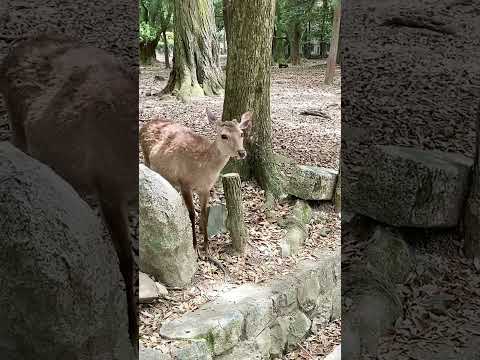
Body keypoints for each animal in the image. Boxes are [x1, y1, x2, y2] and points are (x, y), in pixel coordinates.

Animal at [139, 108, 253, 258]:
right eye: (224, 136)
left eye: (241, 133)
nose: (242, 152)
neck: (202, 171)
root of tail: (144, 126)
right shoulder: (185, 183)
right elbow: (192, 214)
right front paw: (195, 248)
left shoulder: (205, 189)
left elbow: (204, 215)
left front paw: (207, 248)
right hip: (147, 160)